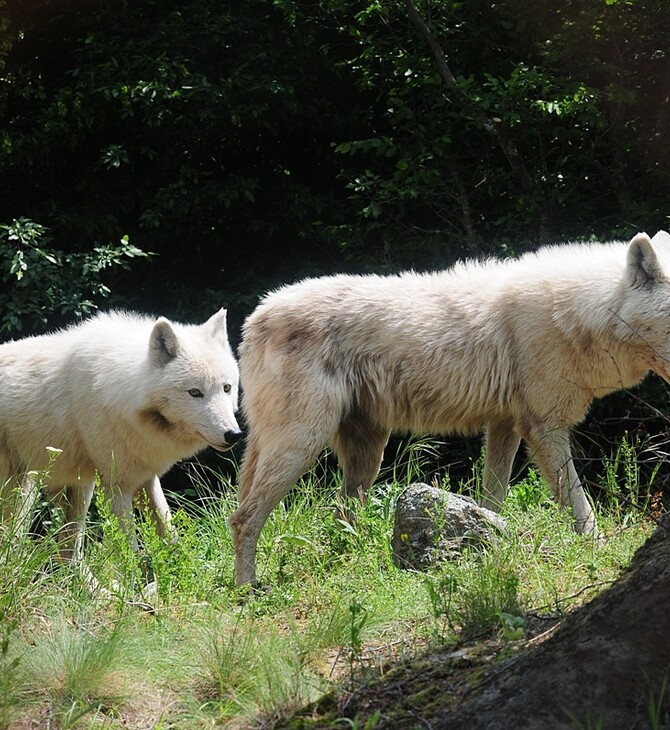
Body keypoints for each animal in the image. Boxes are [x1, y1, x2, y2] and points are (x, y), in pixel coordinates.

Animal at [0, 308, 242, 556]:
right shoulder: (117, 487)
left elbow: (170, 534)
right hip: (18, 491)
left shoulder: (146, 479)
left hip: (75, 490)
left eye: (226, 388)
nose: (233, 434)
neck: (122, 392)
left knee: (67, 550)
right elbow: (129, 551)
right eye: (195, 392)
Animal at [231, 230, 670, 584]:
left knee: (339, 518)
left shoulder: (506, 426)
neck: (583, 310)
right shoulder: (544, 428)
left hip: (364, 455)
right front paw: (598, 548)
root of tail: (255, 317)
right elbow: (580, 505)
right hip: (303, 443)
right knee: (243, 518)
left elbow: (493, 498)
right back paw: (248, 590)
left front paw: (491, 537)